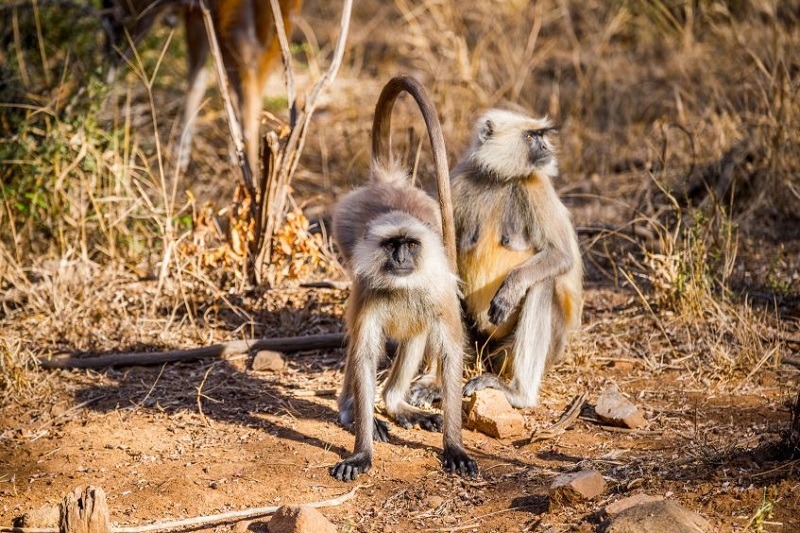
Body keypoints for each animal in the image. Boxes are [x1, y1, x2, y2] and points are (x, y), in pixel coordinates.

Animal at [328, 76, 478, 482]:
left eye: (410, 245)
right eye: (392, 245)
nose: (400, 258)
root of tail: (388, 182)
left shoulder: (439, 289)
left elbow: (450, 353)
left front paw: (454, 445)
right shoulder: (368, 290)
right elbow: (364, 354)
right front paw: (362, 451)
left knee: (416, 328)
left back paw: (395, 404)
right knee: (360, 343)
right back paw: (352, 411)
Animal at [412, 108, 580, 408]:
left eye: (541, 136)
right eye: (531, 137)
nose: (547, 148)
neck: (500, 178)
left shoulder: (537, 187)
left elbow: (561, 255)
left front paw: (510, 291)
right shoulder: (460, 180)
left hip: (529, 349)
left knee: (542, 284)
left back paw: (518, 394)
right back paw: (436, 381)